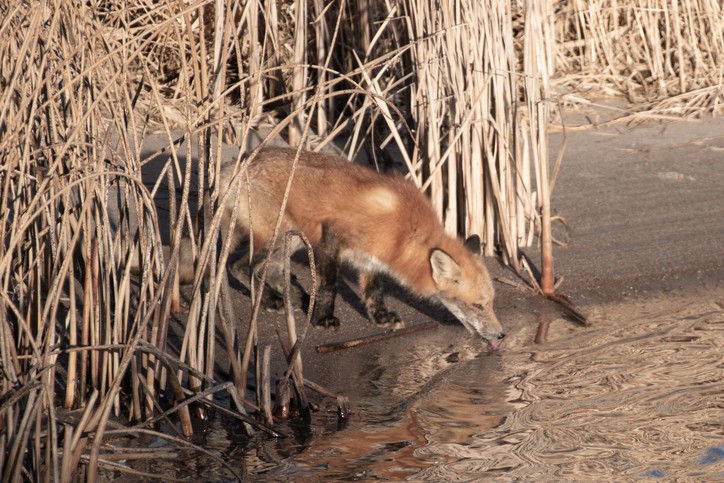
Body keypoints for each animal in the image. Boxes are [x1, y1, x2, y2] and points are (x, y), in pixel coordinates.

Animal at [218, 147, 506, 352]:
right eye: (478, 306)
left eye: (492, 304)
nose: (502, 334)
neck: (405, 229)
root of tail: (238, 164)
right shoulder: (331, 235)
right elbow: (330, 286)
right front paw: (323, 318)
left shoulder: (373, 257)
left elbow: (373, 290)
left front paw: (380, 318)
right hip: (280, 234)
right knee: (242, 266)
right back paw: (271, 300)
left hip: (293, 238)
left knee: (265, 270)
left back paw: (297, 298)